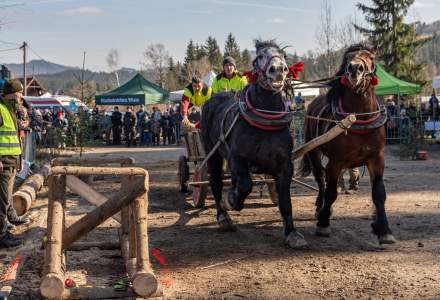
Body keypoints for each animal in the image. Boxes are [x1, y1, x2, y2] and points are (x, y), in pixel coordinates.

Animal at [300, 45, 398, 246]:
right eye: (347, 58)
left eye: (371, 57)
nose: (355, 69)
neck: (359, 118)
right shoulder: (336, 162)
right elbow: (331, 192)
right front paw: (323, 223)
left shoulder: (376, 159)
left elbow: (379, 193)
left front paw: (383, 229)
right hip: (313, 150)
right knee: (320, 178)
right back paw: (320, 208)